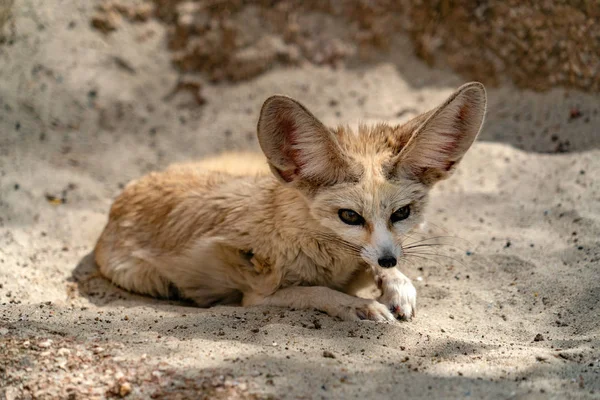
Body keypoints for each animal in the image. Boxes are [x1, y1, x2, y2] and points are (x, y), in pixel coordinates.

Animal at [95, 82, 488, 322]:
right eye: (349, 216)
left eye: (402, 213)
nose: (389, 259)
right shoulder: (256, 297)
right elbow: (316, 291)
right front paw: (361, 305)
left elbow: (376, 264)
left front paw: (397, 283)